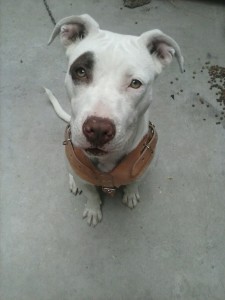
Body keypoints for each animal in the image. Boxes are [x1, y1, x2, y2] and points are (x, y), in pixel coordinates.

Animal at [45, 13, 183, 225]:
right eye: (81, 71)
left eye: (135, 83)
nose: (98, 130)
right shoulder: (84, 178)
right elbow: (91, 194)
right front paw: (93, 209)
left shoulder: (142, 168)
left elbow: (134, 184)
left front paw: (130, 194)